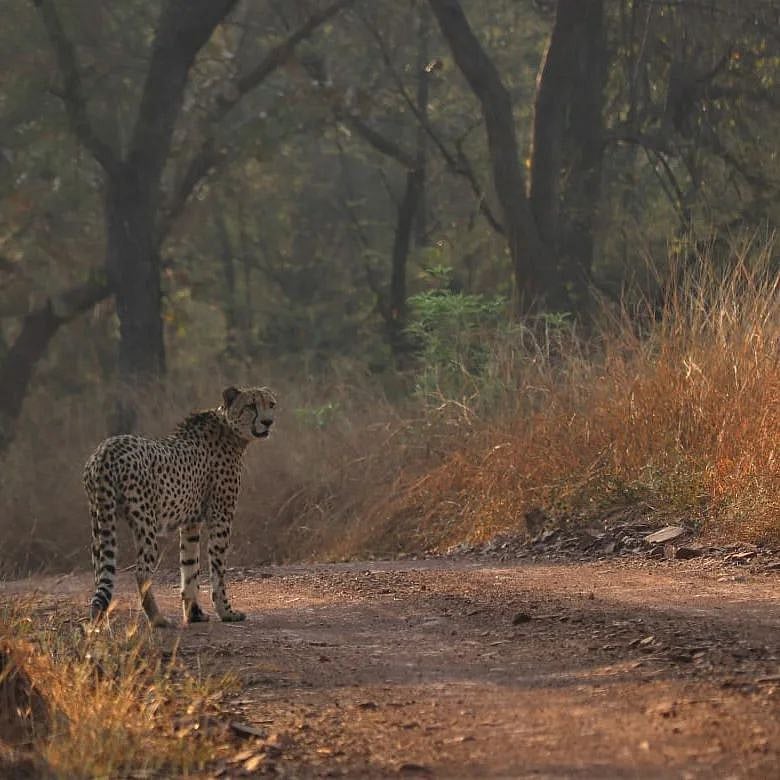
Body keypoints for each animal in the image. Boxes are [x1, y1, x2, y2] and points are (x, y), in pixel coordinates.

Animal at [83, 385, 276, 627]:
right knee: (141, 572)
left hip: (99, 521)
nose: (268, 422)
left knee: (100, 573)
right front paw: (226, 612)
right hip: (145, 523)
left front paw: (194, 614)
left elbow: (190, 566)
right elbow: (217, 570)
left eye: (271, 404)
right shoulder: (221, 517)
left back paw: (98, 622)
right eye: (250, 405)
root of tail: (106, 449)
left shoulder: (191, 522)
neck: (230, 430)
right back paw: (158, 619)